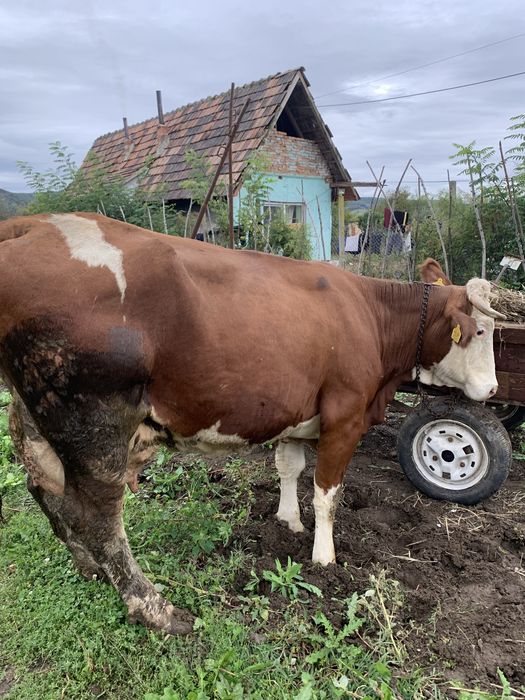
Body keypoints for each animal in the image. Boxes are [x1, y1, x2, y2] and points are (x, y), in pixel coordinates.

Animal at [0, 213, 504, 634]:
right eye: (480, 331)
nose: (493, 390)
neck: (368, 314)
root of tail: (32, 225)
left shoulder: (295, 413)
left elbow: (289, 469)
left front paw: (287, 522)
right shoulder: (345, 417)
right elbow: (327, 495)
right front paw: (324, 558)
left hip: (34, 417)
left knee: (45, 490)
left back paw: (89, 569)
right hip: (95, 422)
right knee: (99, 518)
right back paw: (156, 609)